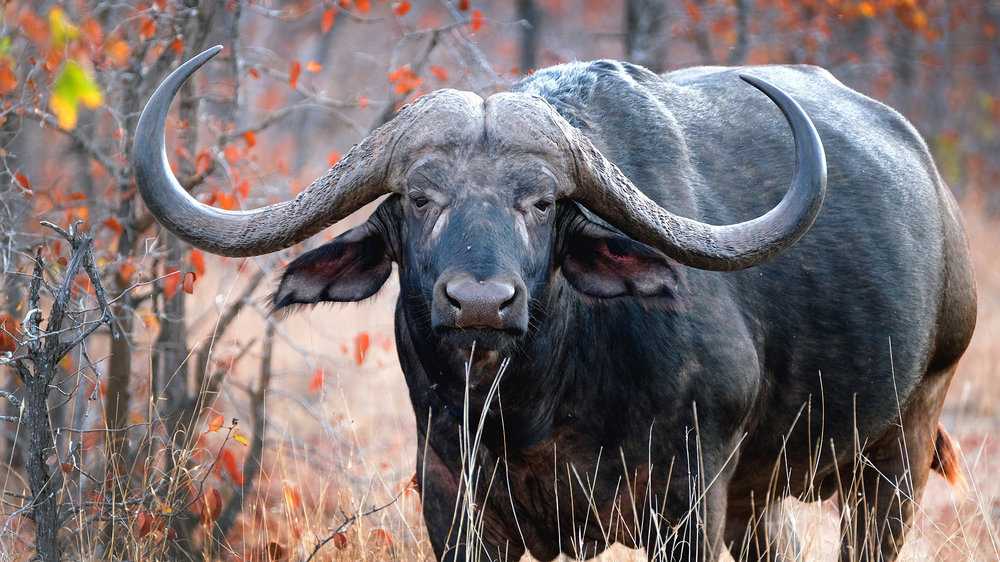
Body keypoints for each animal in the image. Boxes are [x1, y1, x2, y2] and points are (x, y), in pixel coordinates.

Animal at [134, 46, 976, 561]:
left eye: (540, 203)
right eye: (419, 198)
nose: (480, 301)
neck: (530, 405)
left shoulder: (686, 503)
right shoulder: (454, 504)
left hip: (900, 452)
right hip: (762, 495)